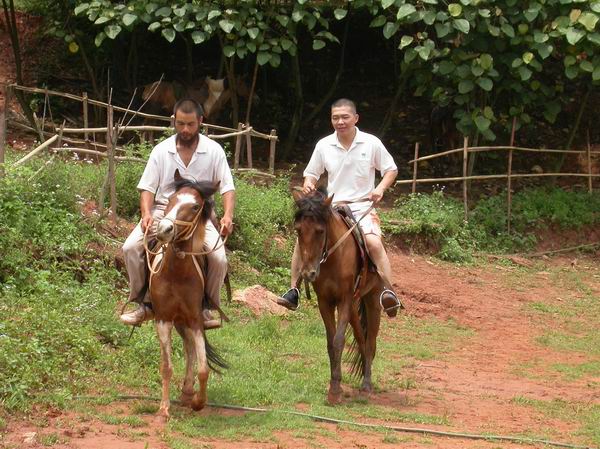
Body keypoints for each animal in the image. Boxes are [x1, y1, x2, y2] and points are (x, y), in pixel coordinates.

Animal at [148, 169, 227, 421]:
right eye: (171, 199)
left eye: (194, 206)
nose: (164, 229)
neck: (176, 274)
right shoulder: (163, 319)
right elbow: (166, 367)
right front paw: (163, 410)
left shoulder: (195, 319)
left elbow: (203, 368)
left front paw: (198, 402)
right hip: (178, 321)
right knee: (188, 346)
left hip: (186, 321)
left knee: (191, 348)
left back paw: (188, 391)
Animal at [292, 188, 384, 404]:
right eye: (298, 230)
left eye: (320, 231)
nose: (308, 273)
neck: (334, 257)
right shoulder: (325, 302)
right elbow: (330, 342)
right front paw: (335, 385)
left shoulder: (344, 300)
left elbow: (338, 340)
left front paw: (335, 391)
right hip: (354, 307)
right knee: (361, 339)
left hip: (372, 300)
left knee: (370, 342)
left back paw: (367, 385)